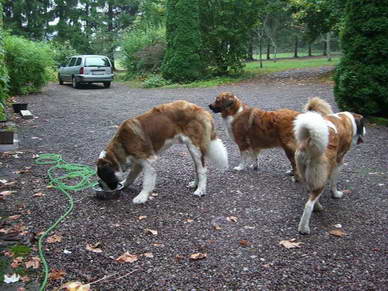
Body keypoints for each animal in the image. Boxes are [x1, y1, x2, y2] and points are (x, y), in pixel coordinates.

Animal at [97, 100, 229, 205]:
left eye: (104, 178)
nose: (102, 186)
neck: (122, 144)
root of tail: (201, 109)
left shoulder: (148, 160)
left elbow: (147, 181)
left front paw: (142, 197)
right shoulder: (138, 161)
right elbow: (131, 176)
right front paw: (124, 184)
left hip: (194, 147)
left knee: (202, 169)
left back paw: (200, 190)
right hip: (192, 148)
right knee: (197, 167)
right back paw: (195, 184)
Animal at [296, 100, 366, 235]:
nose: (365, 131)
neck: (346, 119)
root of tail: (310, 141)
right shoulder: (339, 161)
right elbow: (334, 182)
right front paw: (336, 194)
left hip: (307, 173)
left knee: (311, 192)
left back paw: (317, 207)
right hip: (322, 174)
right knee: (309, 204)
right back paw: (304, 228)